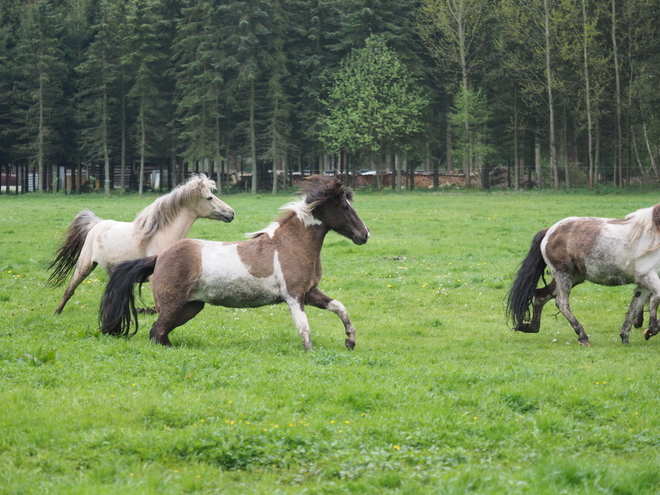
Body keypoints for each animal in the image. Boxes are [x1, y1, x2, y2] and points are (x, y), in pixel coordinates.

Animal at [45, 174, 235, 314]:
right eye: (209, 197)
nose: (231, 213)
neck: (161, 235)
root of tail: (96, 224)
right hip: (85, 265)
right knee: (70, 288)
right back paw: (58, 311)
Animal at [101, 176, 374, 350]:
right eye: (344, 206)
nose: (365, 235)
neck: (292, 244)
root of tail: (159, 257)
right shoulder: (294, 296)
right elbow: (304, 329)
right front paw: (311, 353)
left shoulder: (309, 293)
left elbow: (339, 307)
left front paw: (350, 341)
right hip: (173, 305)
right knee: (156, 332)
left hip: (190, 307)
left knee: (160, 334)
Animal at [508, 203, 660, 346]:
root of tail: (550, 231)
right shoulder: (647, 277)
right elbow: (654, 299)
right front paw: (651, 329)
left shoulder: (644, 284)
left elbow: (635, 307)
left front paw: (626, 337)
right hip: (564, 275)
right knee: (562, 303)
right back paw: (582, 336)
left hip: (573, 277)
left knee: (541, 295)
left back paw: (530, 327)